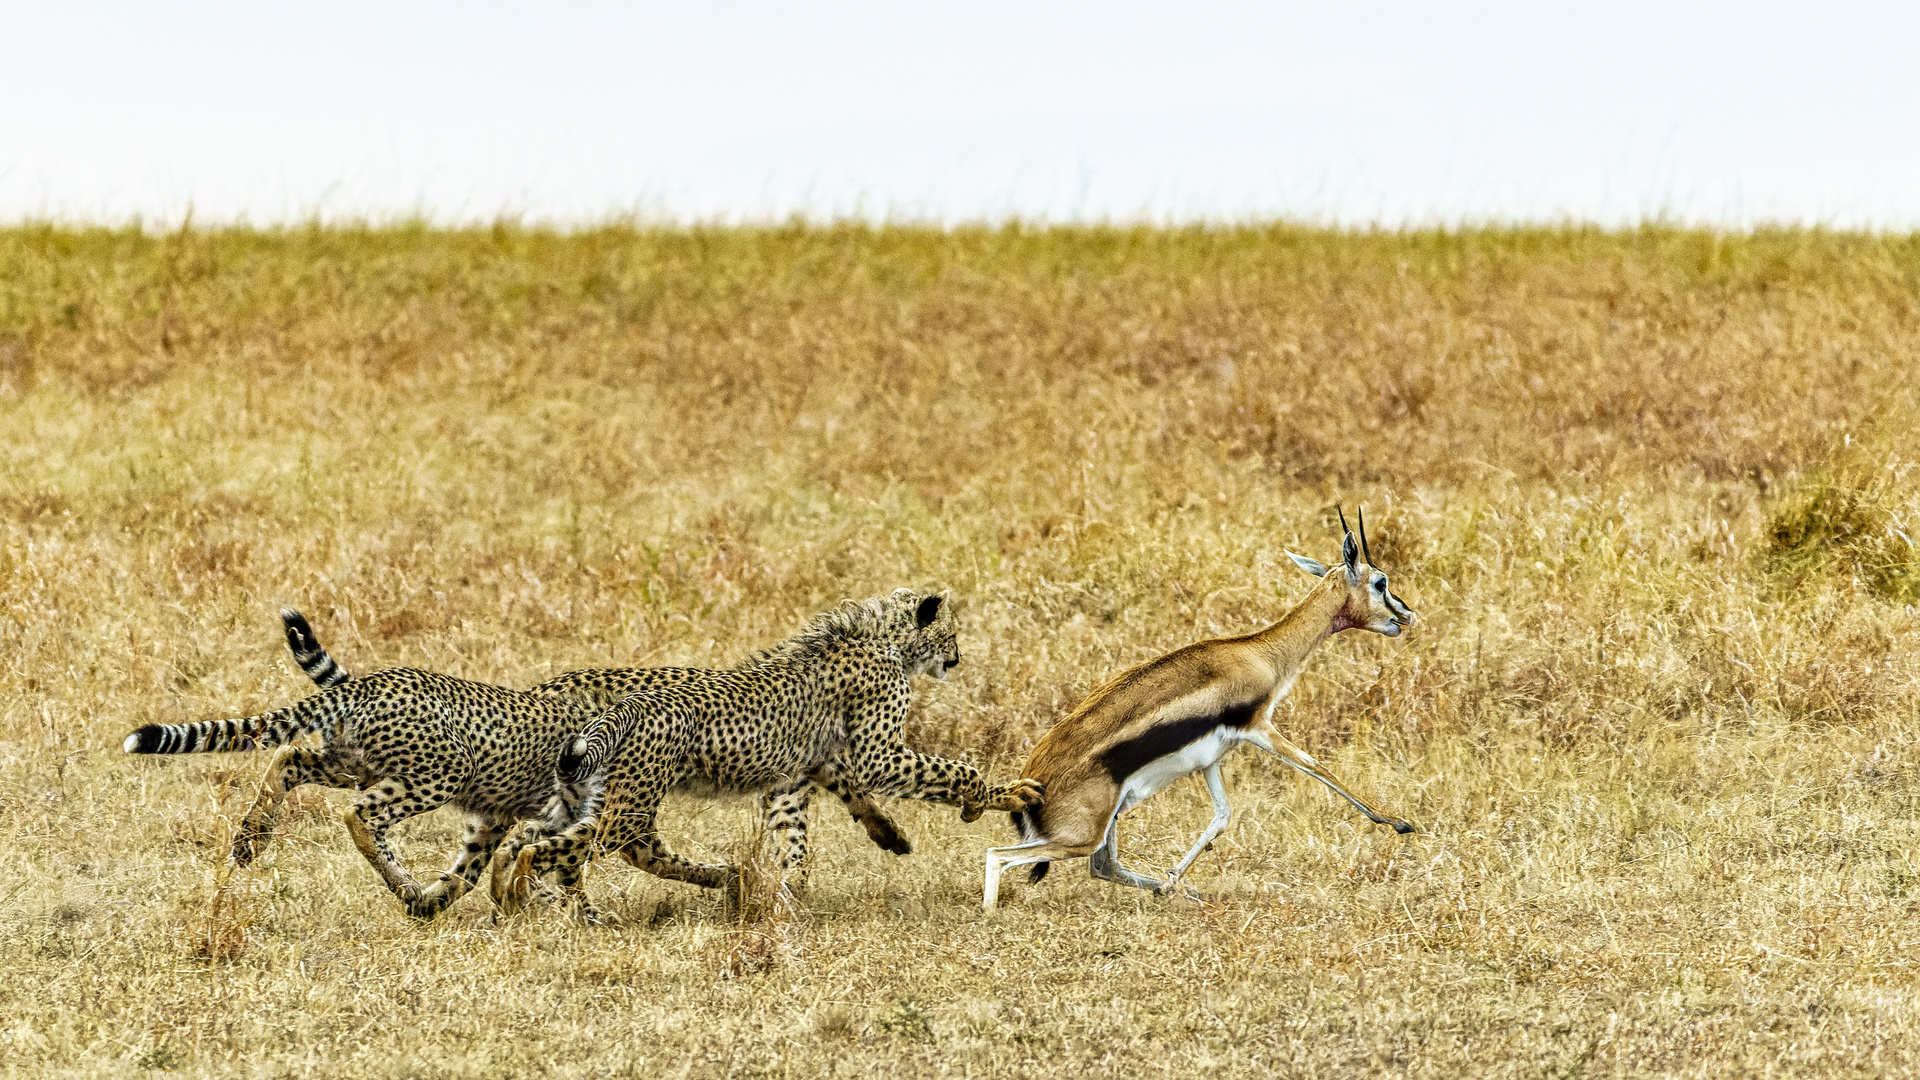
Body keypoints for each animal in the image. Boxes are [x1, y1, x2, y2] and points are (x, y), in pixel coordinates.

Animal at [487, 588, 1044, 914]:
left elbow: (798, 832)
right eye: (951, 632)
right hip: (627, 803)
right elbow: (953, 771)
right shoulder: (876, 753)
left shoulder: (797, 771)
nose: (958, 657)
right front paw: (992, 798)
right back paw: (531, 892)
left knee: (535, 835)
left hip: (589, 794)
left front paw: (805, 881)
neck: (880, 638)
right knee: (570, 847)